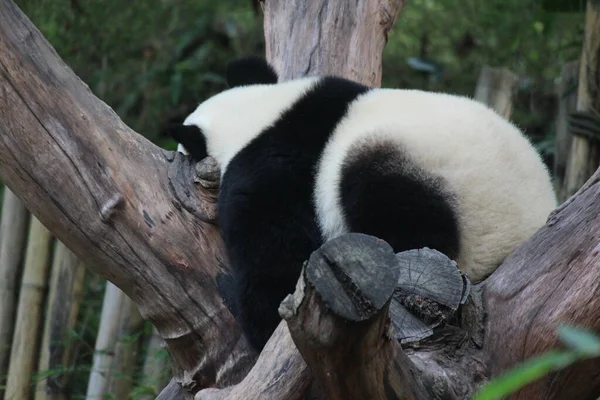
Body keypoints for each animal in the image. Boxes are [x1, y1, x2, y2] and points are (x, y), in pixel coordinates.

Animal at [165, 55, 556, 350]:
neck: (259, 115)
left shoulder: (273, 171)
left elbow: (274, 260)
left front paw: (234, 295)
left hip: (427, 182)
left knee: (401, 217)